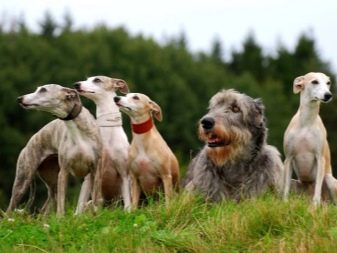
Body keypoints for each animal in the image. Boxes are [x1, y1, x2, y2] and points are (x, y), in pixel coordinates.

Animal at [7, 84, 101, 215]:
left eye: (43, 90)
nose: (19, 99)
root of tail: (27, 145)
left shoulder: (95, 170)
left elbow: (95, 199)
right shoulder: (64, 171)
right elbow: (61, 205)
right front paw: (61, 218)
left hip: (50, 183)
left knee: (44, 209)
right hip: (24, 179)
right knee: (9, 209)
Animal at [74, 76, 131, 211]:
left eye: (97, 80)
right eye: (87, 79)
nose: (76, 84)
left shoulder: (124, 173)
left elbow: (128, 203)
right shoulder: (89, 177)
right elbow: (79, 205)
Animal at [280, 71, 336, 206]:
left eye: (328, 83)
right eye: (314, 81)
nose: (328, 95)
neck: (306, 123)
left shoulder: (320, 158)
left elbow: (318, 188)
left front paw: (315, 206)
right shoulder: (288, 158)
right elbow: (285, 188)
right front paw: (285, 203)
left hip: (330, 180)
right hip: (296, 183)